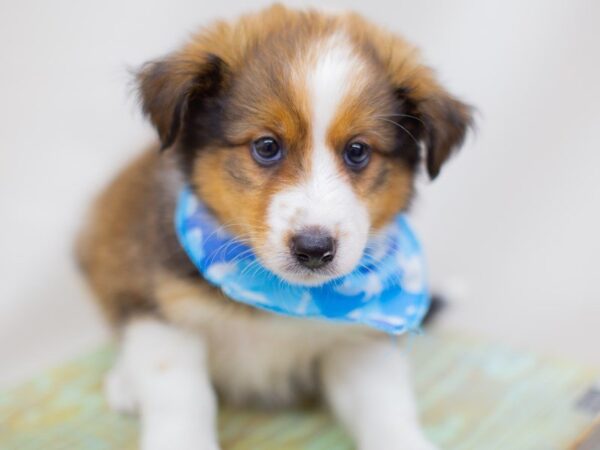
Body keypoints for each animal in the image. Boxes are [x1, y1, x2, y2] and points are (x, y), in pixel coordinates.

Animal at [78, 6, 474, 450]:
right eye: (266, 146)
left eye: (357, 151)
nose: (314, 249)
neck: (284, 295)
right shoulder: (160, 312)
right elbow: (182, 400)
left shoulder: (358, 341)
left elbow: (386, 407)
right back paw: (125, 383)